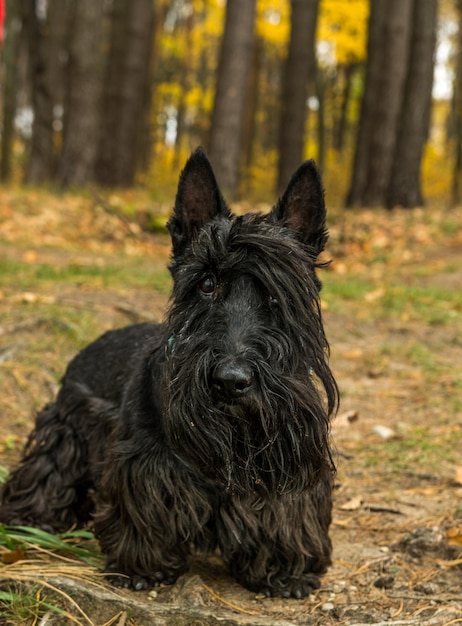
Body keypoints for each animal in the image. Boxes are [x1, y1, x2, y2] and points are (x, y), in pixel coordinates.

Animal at [0, 149, 340, 596]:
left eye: (277, 292)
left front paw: (285, 569)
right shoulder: (141, 466)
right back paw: (31, 517)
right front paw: (143, 567)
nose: (231, 381)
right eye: (206, 283)